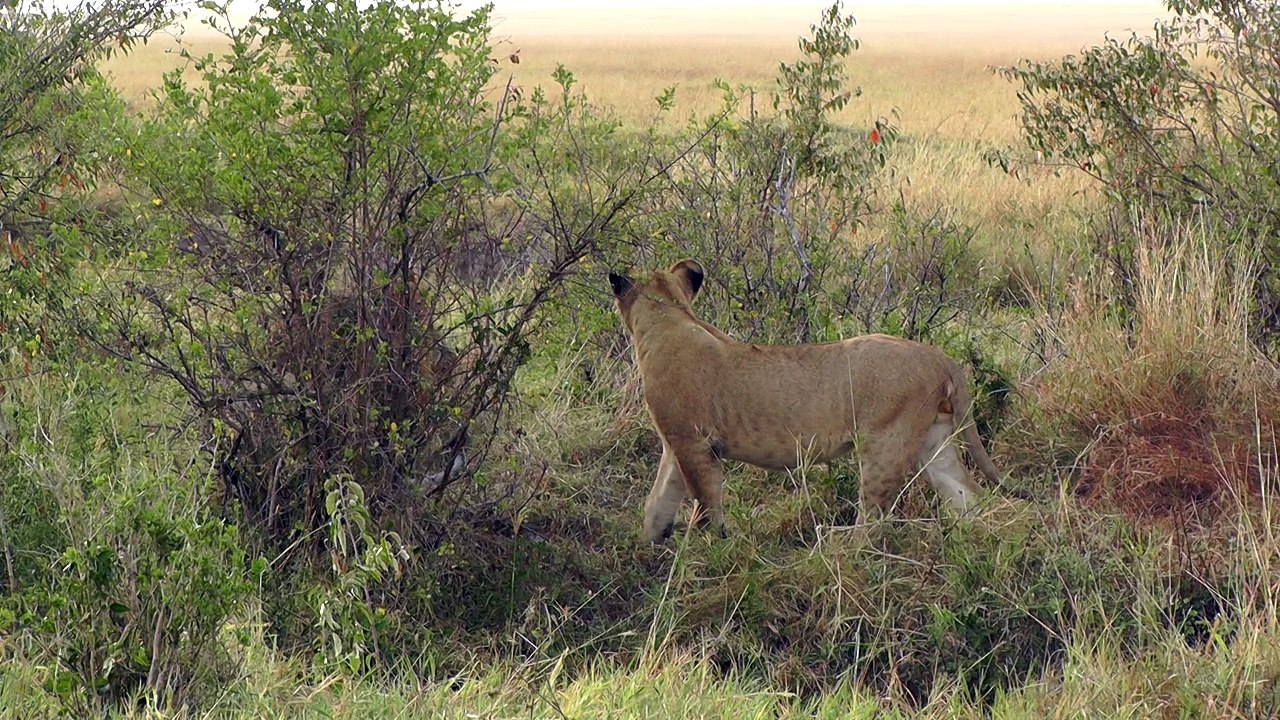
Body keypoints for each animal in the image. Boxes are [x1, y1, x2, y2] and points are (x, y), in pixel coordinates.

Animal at [609, 258, 1004, 542]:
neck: (669, 317)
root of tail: (939, 356)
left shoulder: (694, 443)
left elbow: (705, 509)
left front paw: (706, 555)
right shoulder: (675, 443)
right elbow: (658, 503)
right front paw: (649, 549)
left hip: (885, 445)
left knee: (873, 522)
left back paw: (840, 550)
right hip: (933, 441)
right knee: (969, 495)